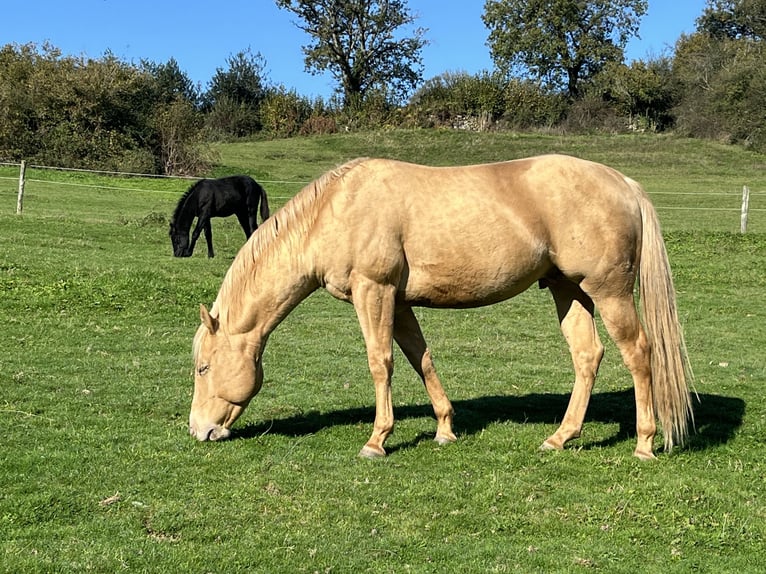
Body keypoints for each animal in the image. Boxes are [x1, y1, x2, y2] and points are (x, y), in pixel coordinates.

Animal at [188, 155, 696, 462]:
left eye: (202, 368)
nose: (199, 431)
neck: (335, 211)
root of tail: (623, 183)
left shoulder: (373, 292)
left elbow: (381, 363)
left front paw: (377, 440)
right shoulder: (397, 302)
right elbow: (420, 358)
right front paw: (445, 428)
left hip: (608, 292)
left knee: (639, 353)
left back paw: (645, 443)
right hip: (566, 289)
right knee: (587, 357)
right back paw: (560, 437)